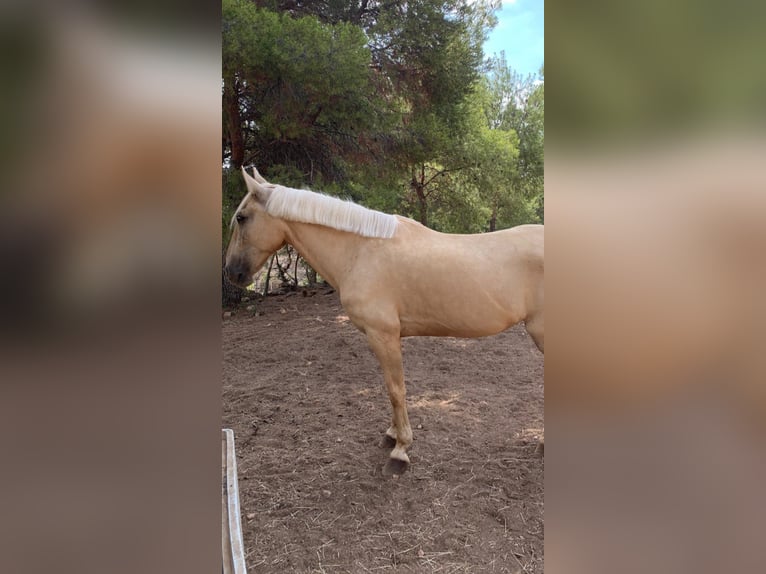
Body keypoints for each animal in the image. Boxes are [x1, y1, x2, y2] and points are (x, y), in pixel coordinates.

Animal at [225, 167, 544, 475]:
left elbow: (396, 389)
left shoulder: (383, 335)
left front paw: (400, 451)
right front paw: (392, 435)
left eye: (241, 217)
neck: (361, 251)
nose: (232, 273)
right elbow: (390, 389)